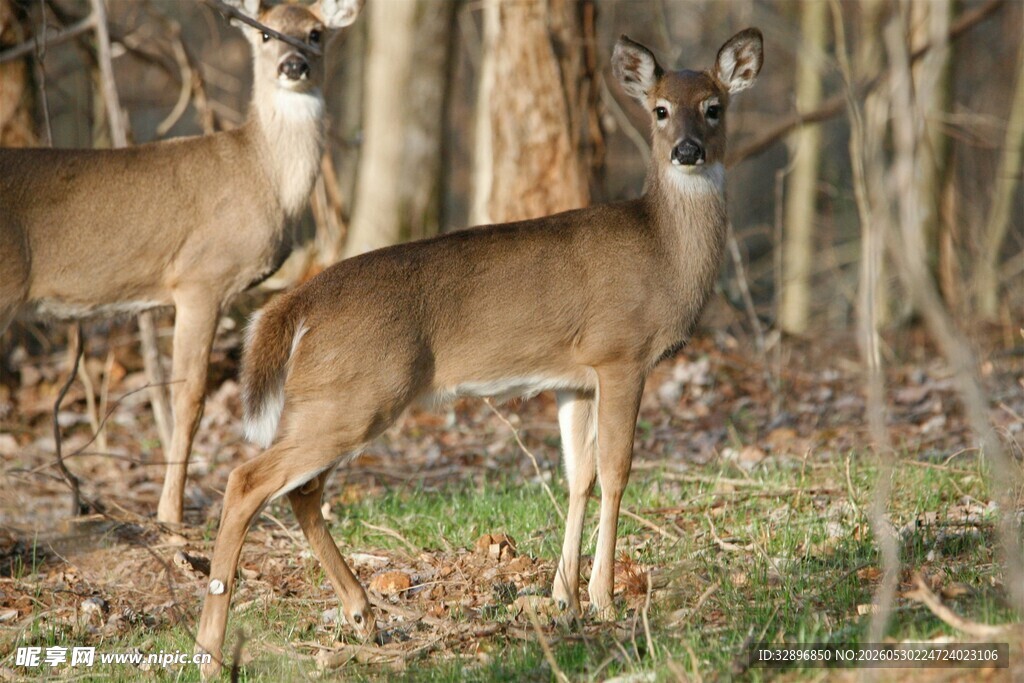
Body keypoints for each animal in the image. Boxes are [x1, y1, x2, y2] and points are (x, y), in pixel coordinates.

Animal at [0, 0, 361, 525]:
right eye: (266, 35)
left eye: (315, 33)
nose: (293, 66)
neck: (263, 176)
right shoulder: (200, 278)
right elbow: (188, 398)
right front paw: (170, 513)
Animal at [195, 29, 763, 676]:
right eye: (661, 110)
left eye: (714, 107)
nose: (688, 151)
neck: (664, 254)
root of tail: (298, 301)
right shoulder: (621, 352)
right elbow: (617, 471)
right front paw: (604, 600)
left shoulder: (575, 377)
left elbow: (579, 475)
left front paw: (562, 598)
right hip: (356, 395)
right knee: (248, 479)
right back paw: (211, 650)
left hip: (335, 398)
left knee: (302, 491)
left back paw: (363, 617)